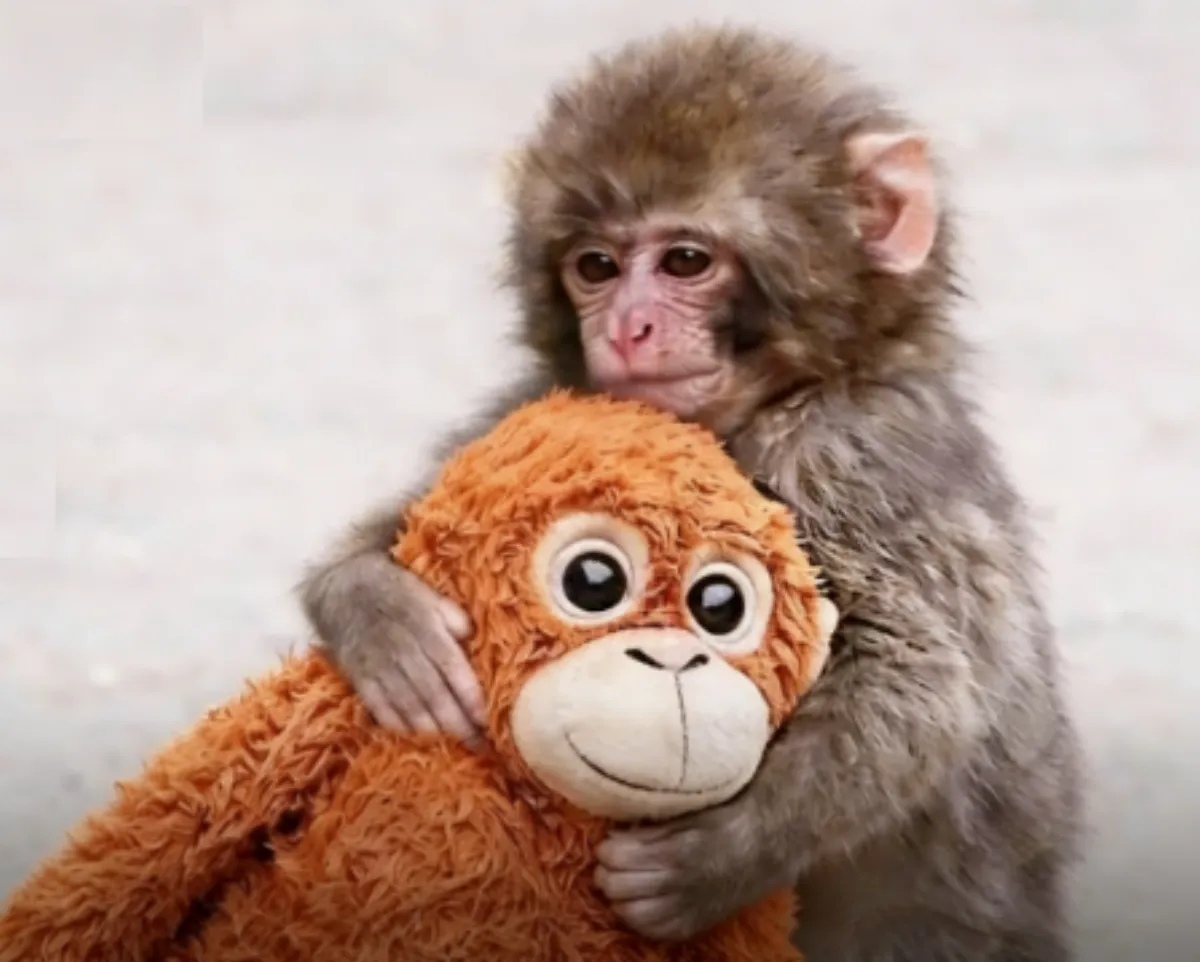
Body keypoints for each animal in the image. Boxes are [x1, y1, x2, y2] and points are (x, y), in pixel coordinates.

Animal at [299, 24, 1084, 962]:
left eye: (685, 261)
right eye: (595, 266)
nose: (627, 328)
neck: (766, 405)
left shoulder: (853, 453)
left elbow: (917, 679)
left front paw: (713, 861)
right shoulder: (553, 404)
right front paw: (383, 618)